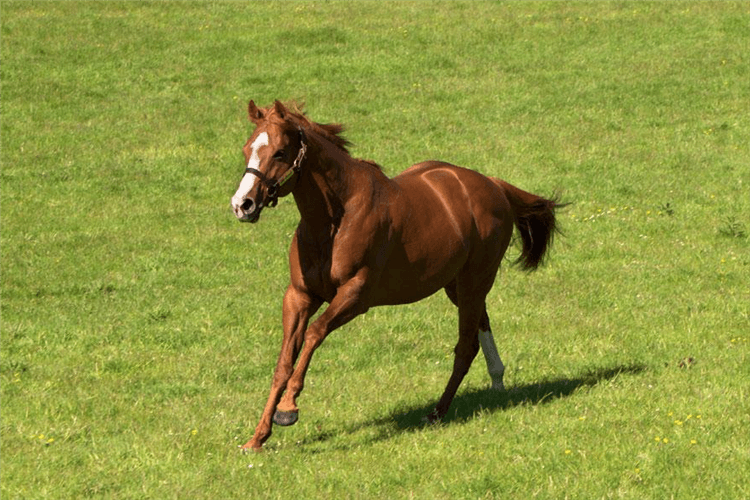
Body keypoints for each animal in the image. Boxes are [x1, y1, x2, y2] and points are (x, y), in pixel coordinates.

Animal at [231, 99, 564, 452]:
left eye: (280, 152)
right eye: (247, 149)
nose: (242, 204)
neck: (335, 219)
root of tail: (494, 185)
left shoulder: (355, 295)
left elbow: (314, 333)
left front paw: (288, 409)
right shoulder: (299, 295)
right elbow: (284, 361)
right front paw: (258, 436)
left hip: (474, 281)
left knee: (465, 346)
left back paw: (438, 412)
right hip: (457, 286)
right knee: (480, 327)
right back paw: (497, 380)